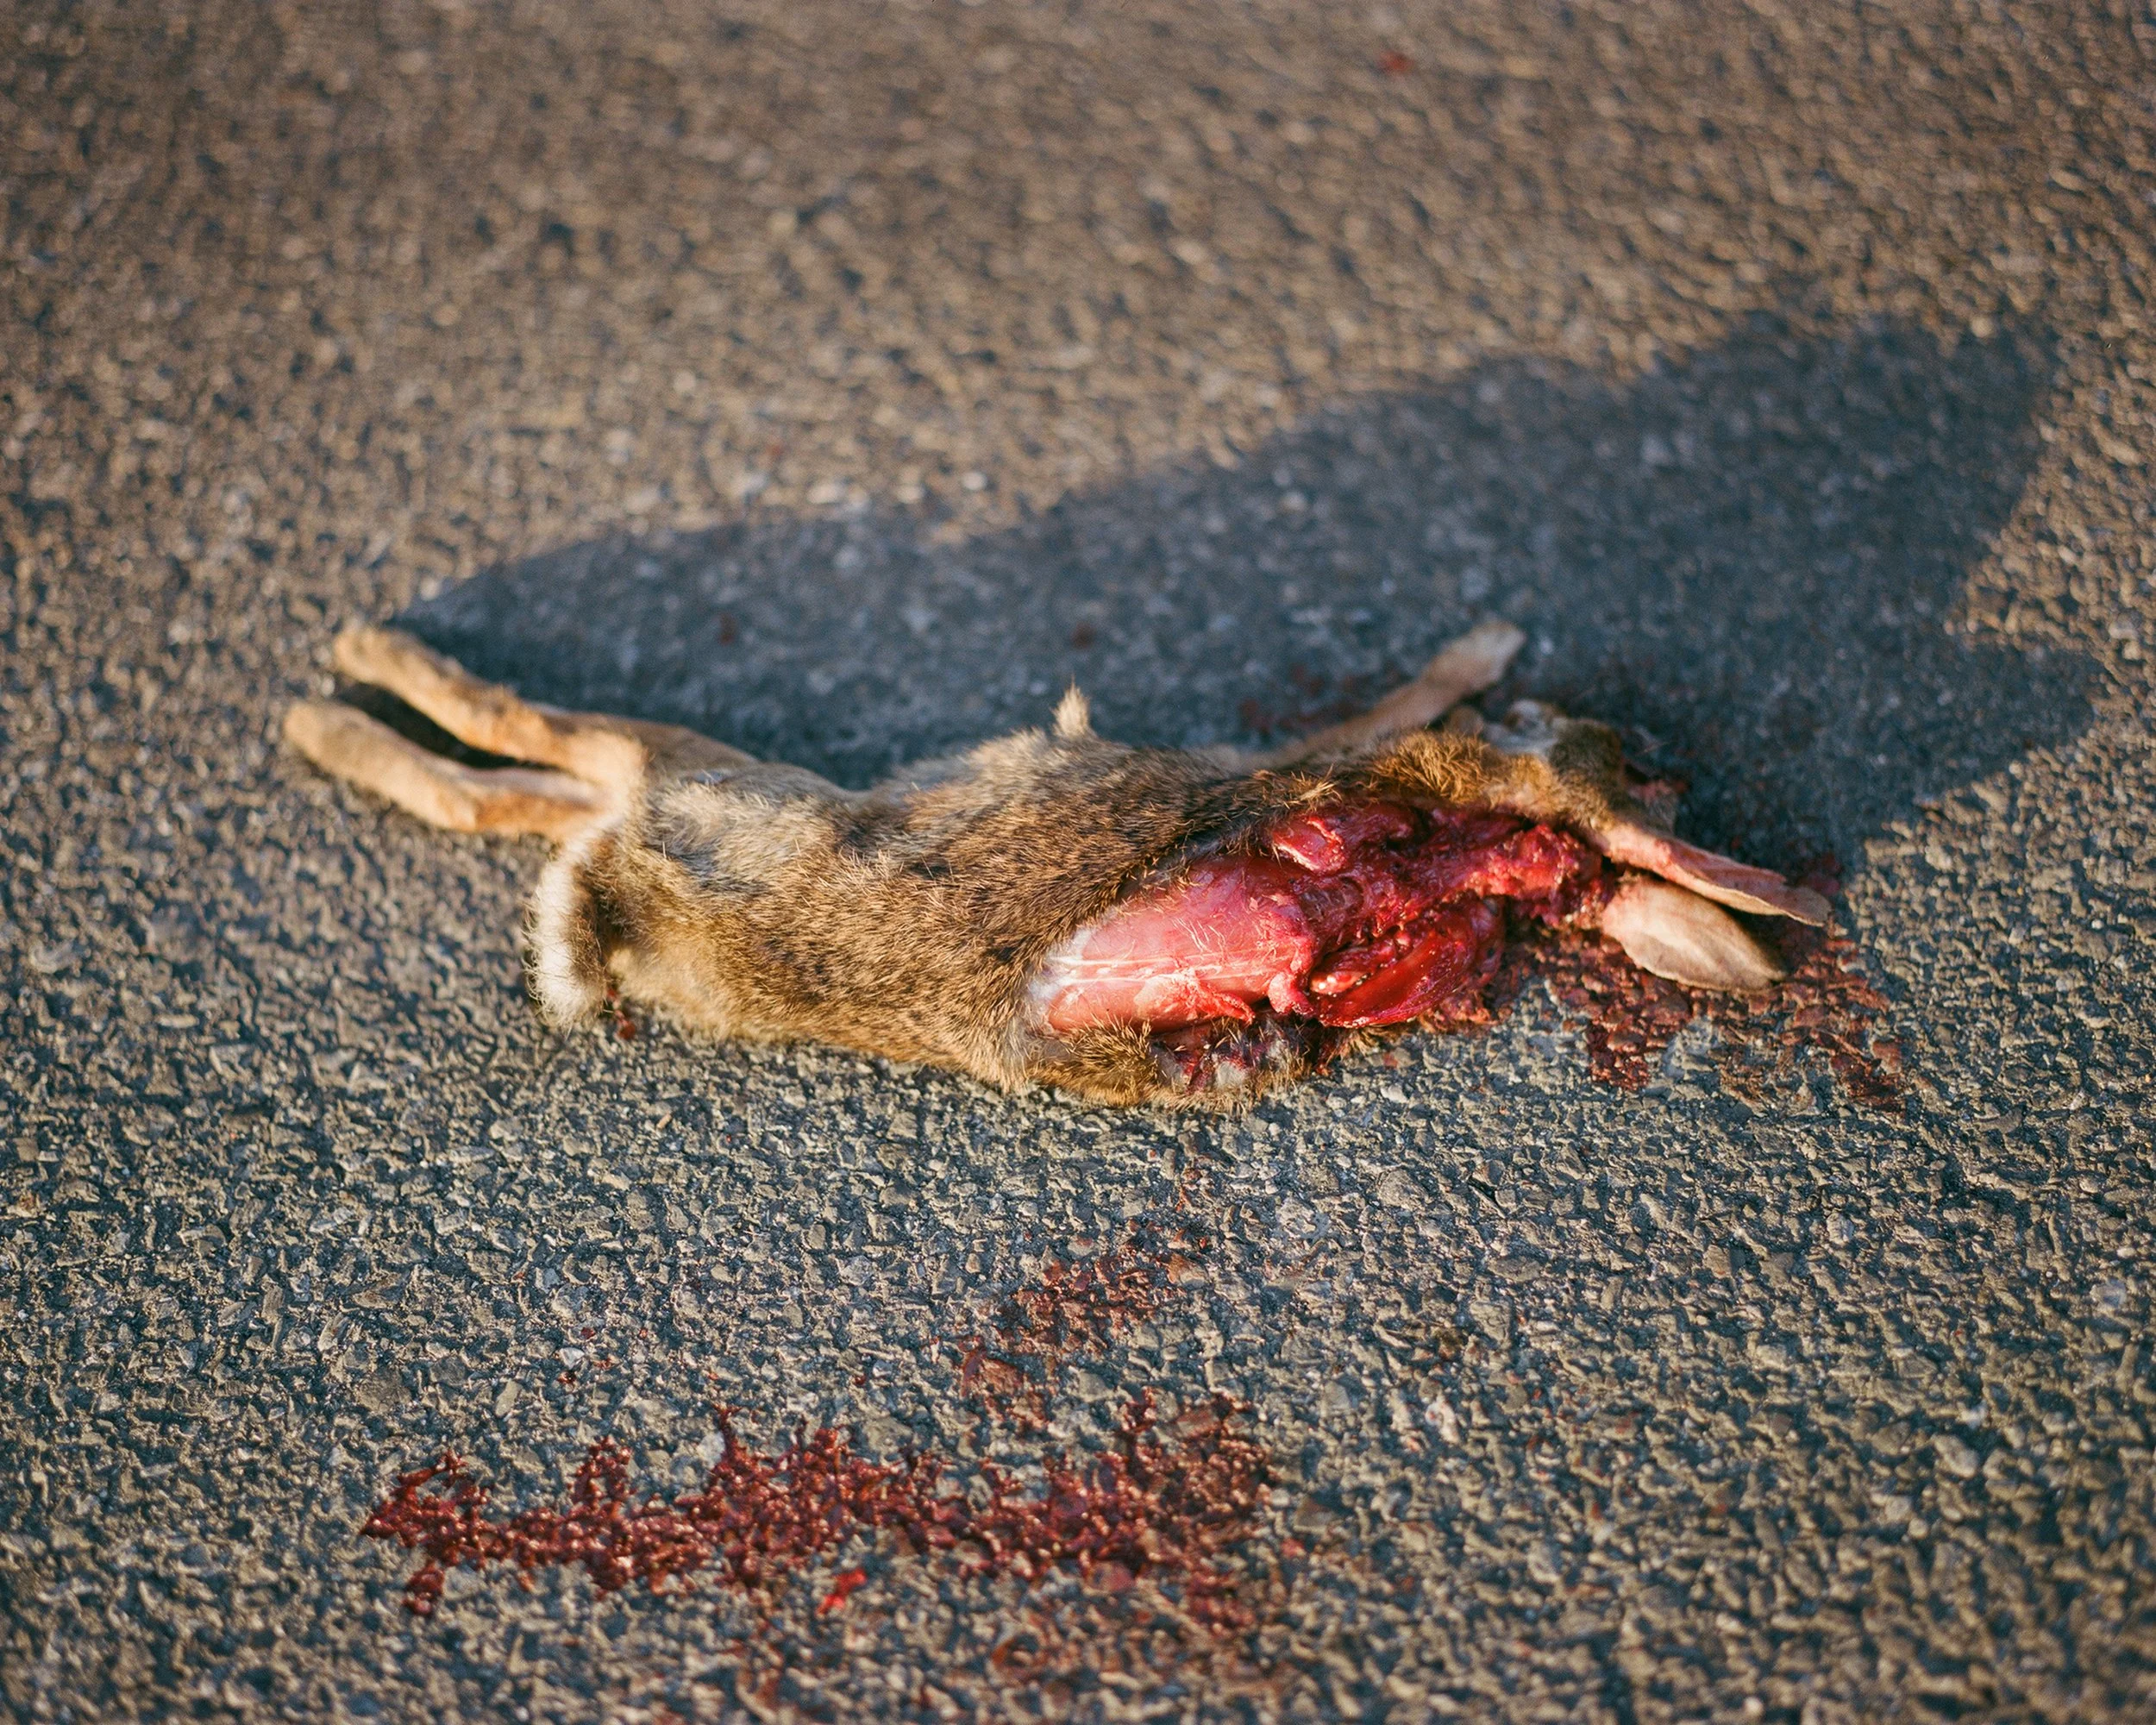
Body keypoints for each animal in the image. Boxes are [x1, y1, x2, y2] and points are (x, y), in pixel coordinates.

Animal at [283, 618, 1826, 1106]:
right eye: (1622, 750)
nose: (1645, 751)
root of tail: (620, 895)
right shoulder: (1358, 759)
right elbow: (1399, 703)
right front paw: (1489, 647)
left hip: (673, 790)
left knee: (517, 782)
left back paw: (338, 703)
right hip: (700, 773)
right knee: (521, 740)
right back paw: (342, 677)